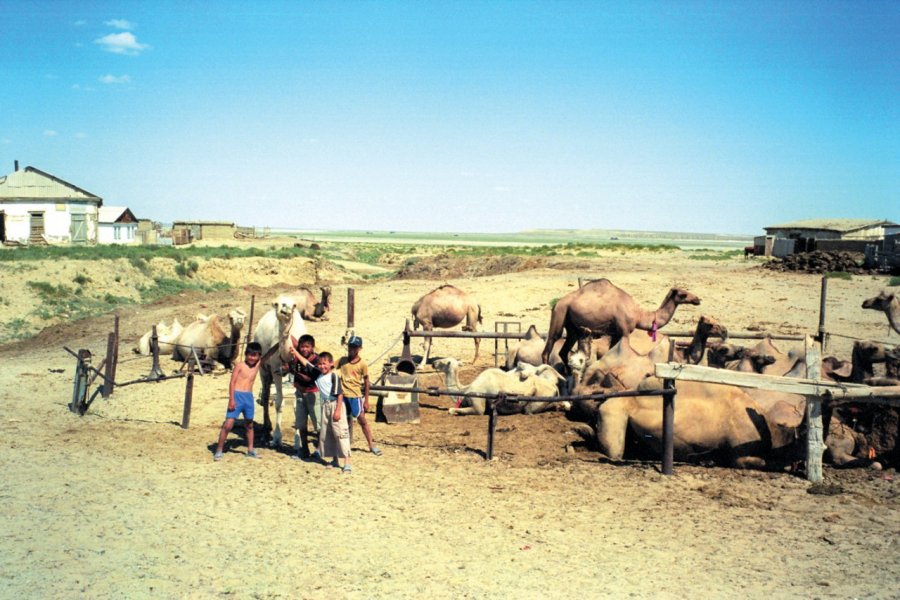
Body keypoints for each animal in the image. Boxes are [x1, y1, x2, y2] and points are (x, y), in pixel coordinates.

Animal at [432, 358, 568, 414]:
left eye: (444, 362)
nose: (433, 363)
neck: (465, 389)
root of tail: (554, 386)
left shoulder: (478, 405)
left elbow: (452, 410)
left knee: (528, 410)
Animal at [536, 280, 700, 370]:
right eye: (683, 294)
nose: (697, 299)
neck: (638, 314)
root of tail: (557, 302)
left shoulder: (615, 333)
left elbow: (610, 352)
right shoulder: (625, 330)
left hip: (572, 326)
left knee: (564, 349)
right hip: (560, 313)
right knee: (551, 342)